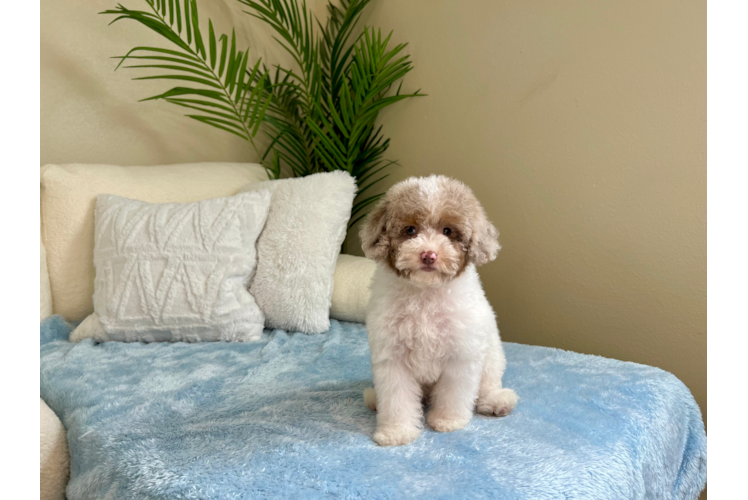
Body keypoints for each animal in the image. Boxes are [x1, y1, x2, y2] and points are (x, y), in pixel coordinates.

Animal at [360, 175, 516, 446]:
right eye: (410, 230)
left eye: (447, 231)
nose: (429, 255)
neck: (426, 293)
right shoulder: (393, 357)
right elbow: (396, 398)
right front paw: (396, 432)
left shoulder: (461, 352)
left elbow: (454, 392)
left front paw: (448, 420)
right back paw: (375, 401)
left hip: (492, 357)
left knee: (487, 384)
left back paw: (497, 402)